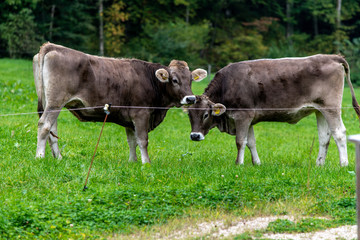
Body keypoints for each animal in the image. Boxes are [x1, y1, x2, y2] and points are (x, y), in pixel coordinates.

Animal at [34, 42, 208, 163]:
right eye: (174, 80)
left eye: (191, 80)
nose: (191, 99)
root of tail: (52, 46)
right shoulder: (141, 114)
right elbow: (142, 140)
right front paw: (146, 162)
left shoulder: (128, 117)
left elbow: (132, 141)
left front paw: (133, 161)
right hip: (55, 103)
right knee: (44, 126)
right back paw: (39, 157)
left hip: (52, 104)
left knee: (52, 130)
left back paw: (58, 157)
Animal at [187, 54, 358, 167]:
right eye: (189, 115)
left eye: (206, 114)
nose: (194, 136)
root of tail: (332, 56)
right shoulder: (249, 119)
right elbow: (251, 142)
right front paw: (256, 163)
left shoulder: (243, 116)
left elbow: (240, 141)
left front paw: (239, 164)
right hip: (319, 110)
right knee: (324, 137)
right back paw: (319, 164)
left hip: (331, 107)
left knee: (339, 133)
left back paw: (344, 163)